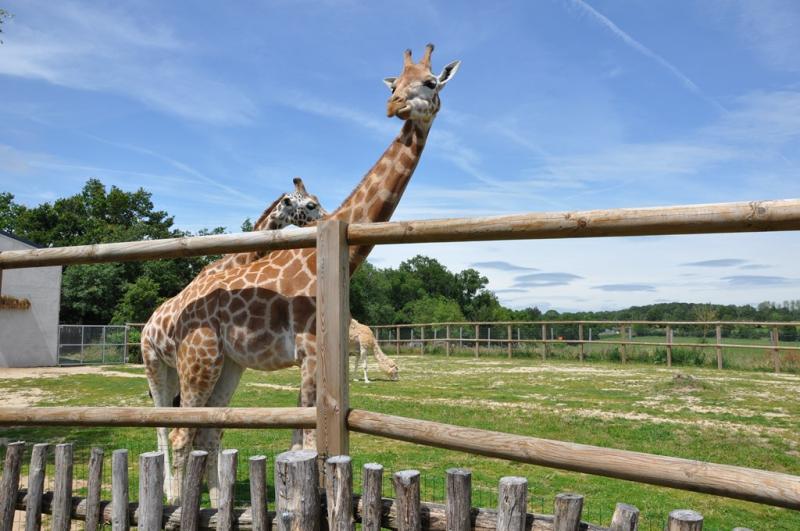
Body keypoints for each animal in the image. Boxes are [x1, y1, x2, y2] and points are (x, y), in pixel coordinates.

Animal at [147, 44, 460, 502]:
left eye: (430, 82)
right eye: (395, 85)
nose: (396, 106)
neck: (334, 259)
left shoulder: (313, 360)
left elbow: (300, 440)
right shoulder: (311, 354)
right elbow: (311, 442)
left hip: (227, 364)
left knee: (207, 430)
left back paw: (217, 500)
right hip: (191, 360)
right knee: (178, 431)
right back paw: (174, 498)